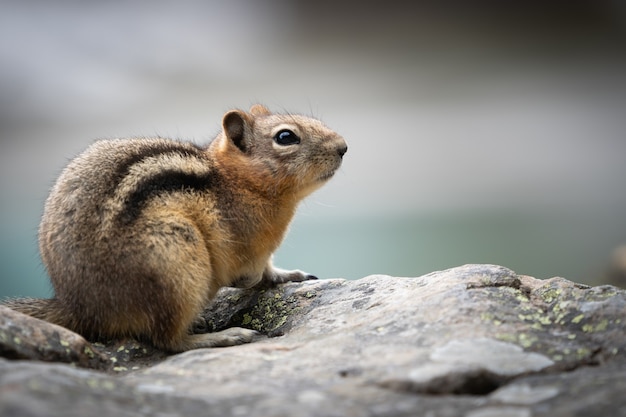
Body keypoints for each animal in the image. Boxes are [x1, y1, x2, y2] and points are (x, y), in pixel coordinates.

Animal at [4, 104, 346, 352]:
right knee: (167, 340)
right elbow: (253, 274)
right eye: (286, 137)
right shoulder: (249, 248)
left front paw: (289, 274)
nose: (343, 147)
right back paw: (220, 336)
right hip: (175, 261)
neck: (236, 181)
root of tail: (79, 308)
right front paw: (273, 278)